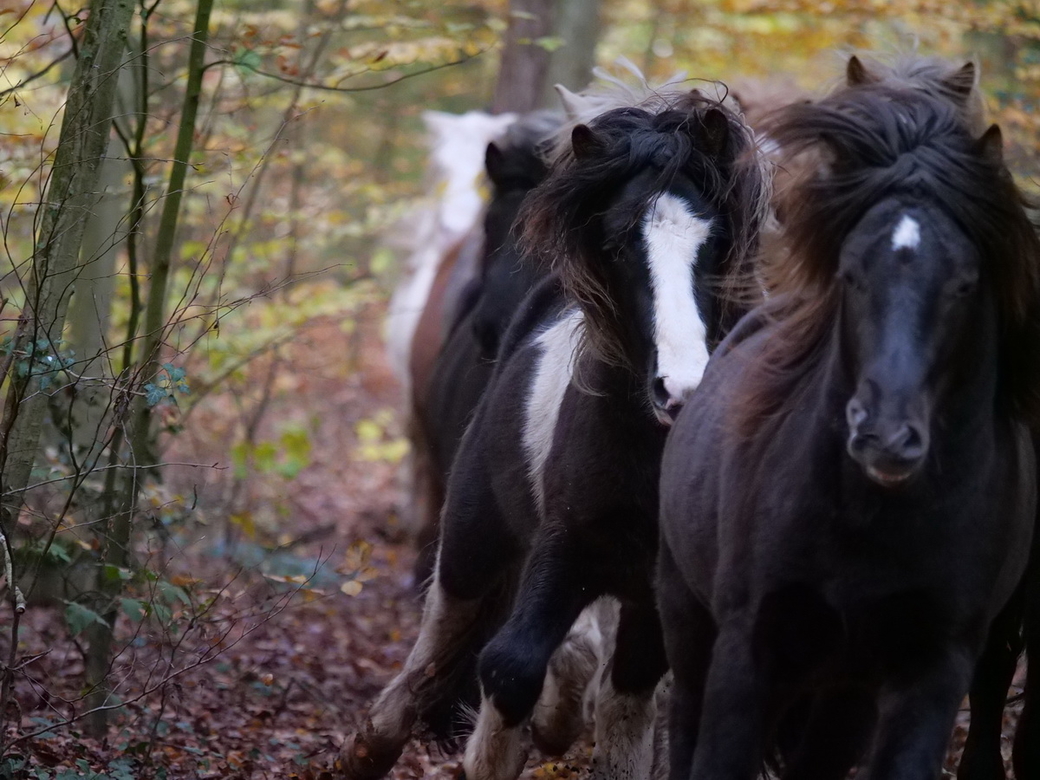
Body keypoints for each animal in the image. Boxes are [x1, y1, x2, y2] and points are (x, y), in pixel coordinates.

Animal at [345, 86, 769, 780]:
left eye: (716, 241)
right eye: (618, 244)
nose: (679, 389)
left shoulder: (658, 594)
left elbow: (625, 695)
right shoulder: (565, 548)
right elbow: (511, 664)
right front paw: (496, 747)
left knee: (624, 692)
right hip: (473, 541)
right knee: (437, 639)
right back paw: (371, 745)